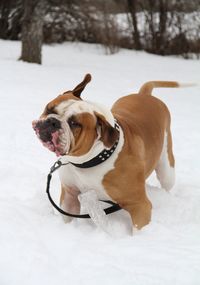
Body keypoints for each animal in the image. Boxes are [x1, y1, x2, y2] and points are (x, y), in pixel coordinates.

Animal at [32, 74, 180, 229]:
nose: (53, 122)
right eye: (49, 109)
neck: (89, 161)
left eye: (75, 124)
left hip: (167, 171)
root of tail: (145, 94)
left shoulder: (140, 206)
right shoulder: (69, 196)